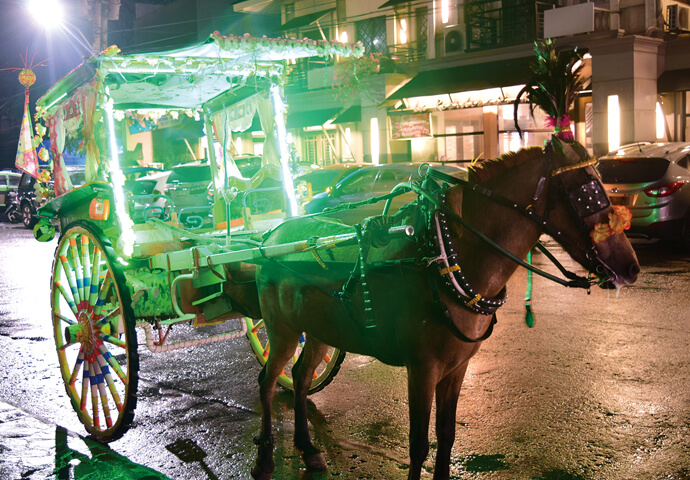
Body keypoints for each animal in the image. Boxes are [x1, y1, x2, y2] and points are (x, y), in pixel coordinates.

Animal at [250, 140, 636, 480]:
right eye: (588, 193)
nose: (631, 268)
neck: (446, 259)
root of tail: (272, 236)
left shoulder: (457, 367)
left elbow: (447, 435)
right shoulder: (422, 368)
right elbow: (419, 444)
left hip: (317, 331)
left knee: (300, 378)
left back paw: (307, 449)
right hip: (281, 331)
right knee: (267, 380)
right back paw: (265, 457)